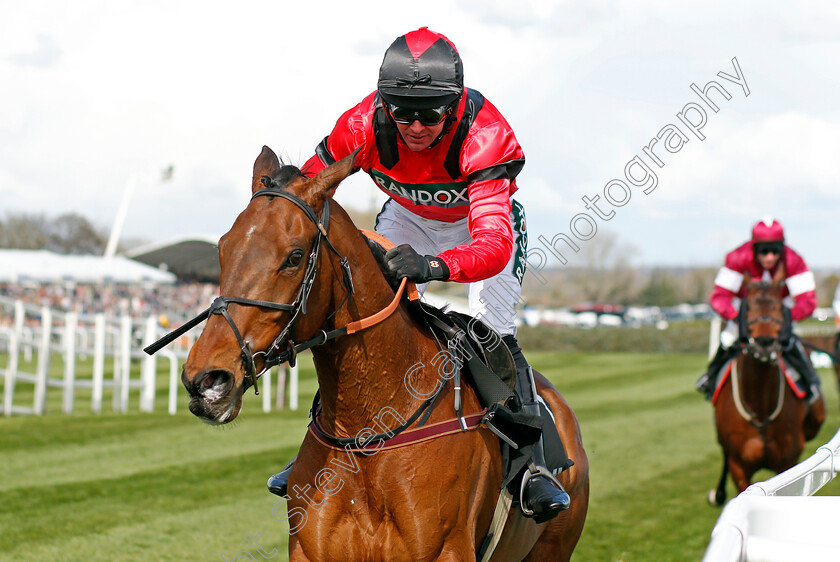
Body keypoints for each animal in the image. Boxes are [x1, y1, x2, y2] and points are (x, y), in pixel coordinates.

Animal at [708, 266, 828, 504]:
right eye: (748, 307)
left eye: (780, 307)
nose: (764, 342)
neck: (760, 407)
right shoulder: (739, 467)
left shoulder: (788, 463)